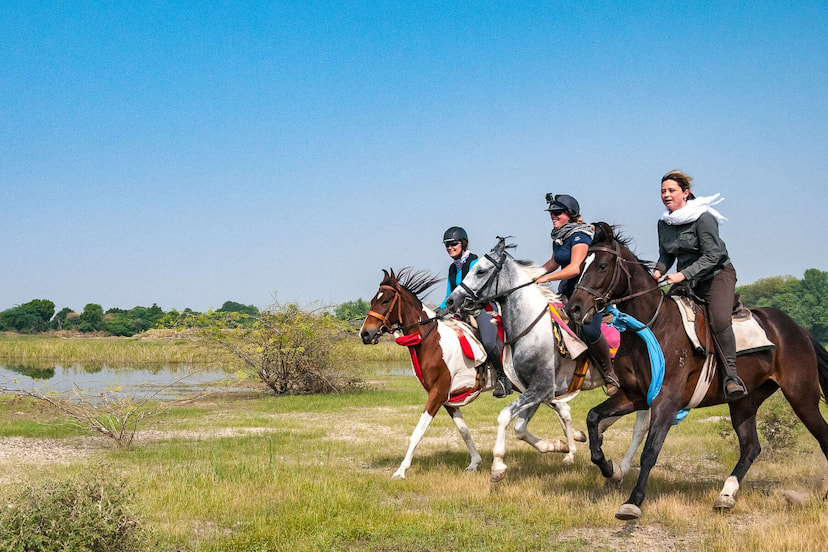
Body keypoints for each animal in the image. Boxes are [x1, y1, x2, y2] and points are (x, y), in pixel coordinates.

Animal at [359, 267, 591, 479]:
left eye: (386, 301)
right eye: (372, 300)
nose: (365, 334)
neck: (431, 340)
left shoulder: (437, 393)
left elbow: (418, 431)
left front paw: (401, 470)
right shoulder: (447, 398)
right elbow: (464, 430)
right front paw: (475, 462)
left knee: (563, 409)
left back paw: (569, 450)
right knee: (562, 409)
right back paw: (570, 443)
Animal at [441, 239, 651, 483]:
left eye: (480, 270)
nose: (451, 300)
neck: (532, 327)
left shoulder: (541, 388)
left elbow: (504, 417)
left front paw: (498, 466)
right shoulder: (536, 390)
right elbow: (520, 428)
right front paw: (559, 446)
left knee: (640, 427)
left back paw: (620, 467)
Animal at [565, 222, 828, 520]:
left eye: (602, 266)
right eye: (581, 265)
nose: (574, 309)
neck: (651, 326)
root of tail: (799, 329)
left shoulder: (666, 401)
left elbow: (650, 451)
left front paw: (633, 501)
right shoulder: (635, 395)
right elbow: (593, 417)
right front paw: (609, 469)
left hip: (801, 396)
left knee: (822, 436)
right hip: (745, 401)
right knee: (751, 446)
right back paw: (726, 495)